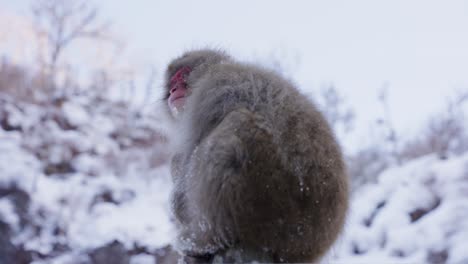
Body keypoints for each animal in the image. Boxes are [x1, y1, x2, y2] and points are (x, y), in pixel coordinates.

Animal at [164, 49, 348, 262]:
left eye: (181, 76)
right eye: (171, 83)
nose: (172, 91)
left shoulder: (210, 92)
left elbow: (185, 172)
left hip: (272, 204)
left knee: (236, 124)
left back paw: (206, 239)